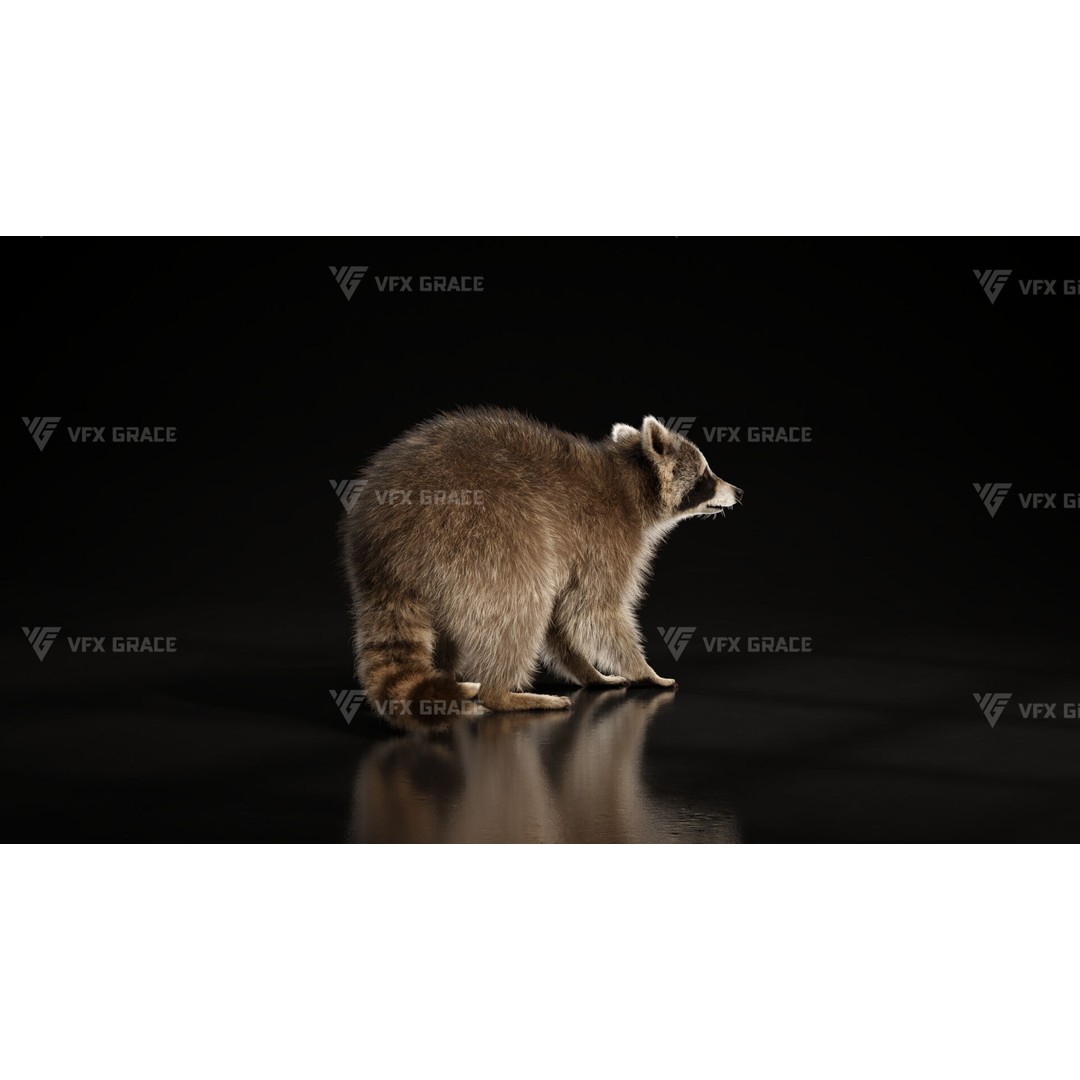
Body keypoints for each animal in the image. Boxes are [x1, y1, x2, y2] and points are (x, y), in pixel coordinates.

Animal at [340, 407, 742, 718]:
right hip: (478, 533)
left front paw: (589, 672)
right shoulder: (607, 541)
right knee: (523, 600)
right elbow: (593, 610)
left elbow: (562, 616)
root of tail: (384, 549)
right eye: (706, 476)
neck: (632, 480)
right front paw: (643, 671)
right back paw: (499, 693)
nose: (738, 491)